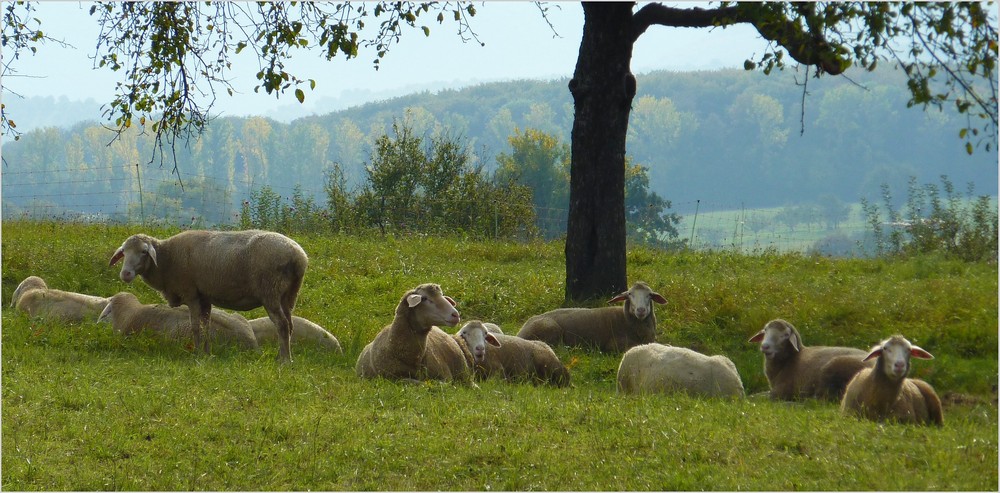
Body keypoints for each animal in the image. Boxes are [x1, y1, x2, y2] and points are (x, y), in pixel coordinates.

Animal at [516, 278, 664, 352]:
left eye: (649, 295)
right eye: (630, 294)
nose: (641, 310)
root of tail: (521, 331)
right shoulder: (614, 345)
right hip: (550, 328)